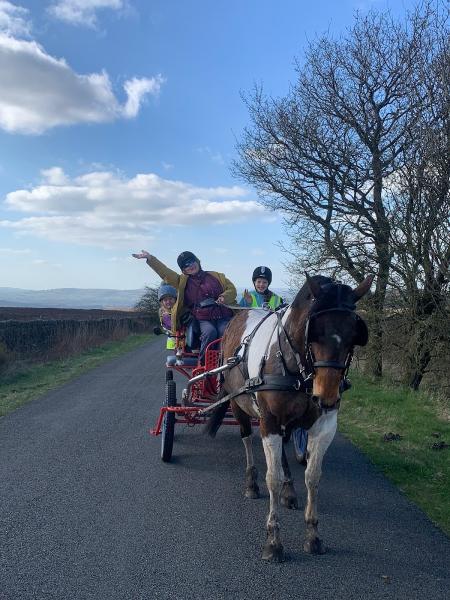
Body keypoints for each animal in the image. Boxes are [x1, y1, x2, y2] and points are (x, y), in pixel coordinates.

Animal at [207, 274, 372, 560]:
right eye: (314, 330)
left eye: (354, 335)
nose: (327, 395)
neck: (296, 367)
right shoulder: (269, 421)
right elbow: (271, 477)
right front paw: (273, 541)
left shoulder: (325, 425)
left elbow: (313, 476)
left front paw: (313, 535)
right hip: (239, 406)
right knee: (246, 439)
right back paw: (251, 483)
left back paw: (289, 491)